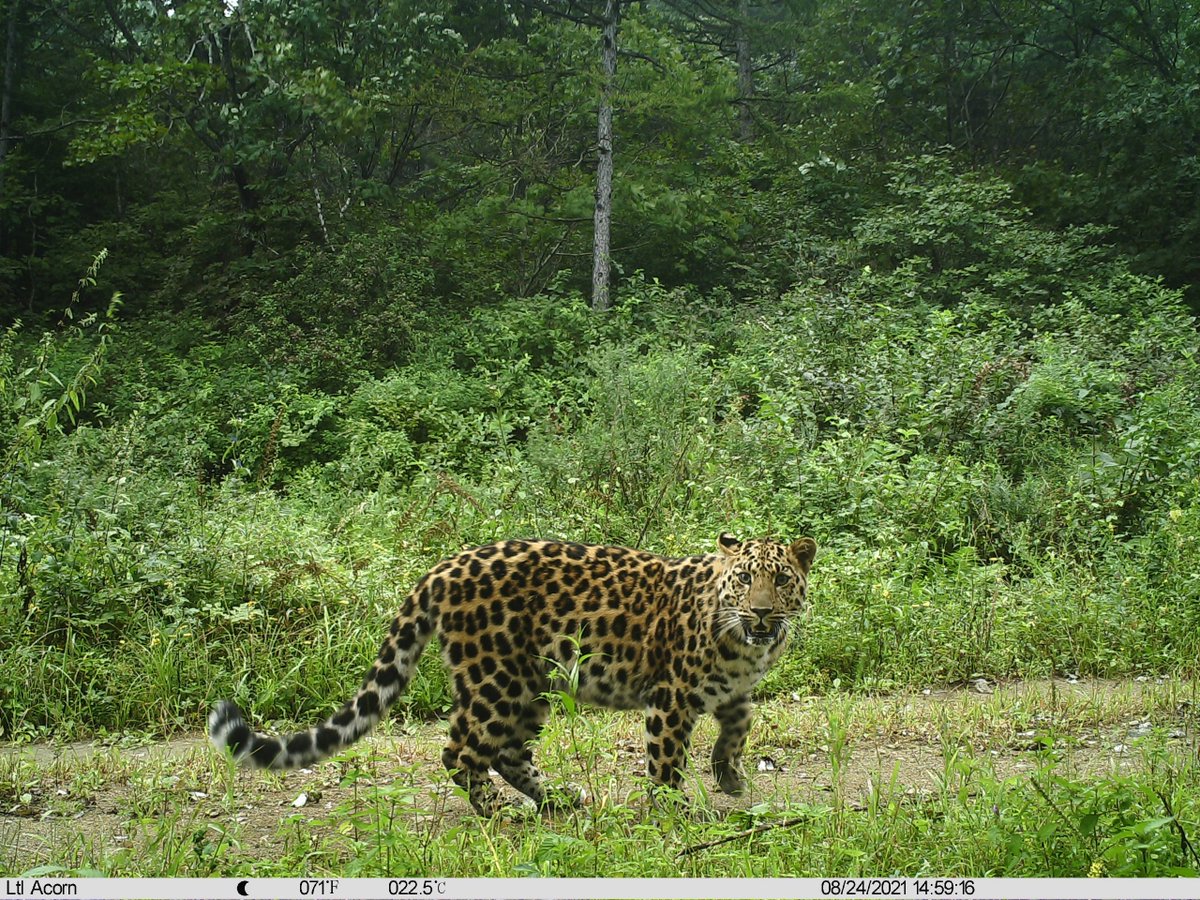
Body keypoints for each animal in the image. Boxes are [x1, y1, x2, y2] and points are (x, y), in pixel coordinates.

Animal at [208, 532, 817, 815]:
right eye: (745, 579)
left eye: (782, 579)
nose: (762, 613)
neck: (742, 646)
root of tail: (443, 567)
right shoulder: (669, 698)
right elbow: (666, 763)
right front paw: (676, 813)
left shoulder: (730, 691)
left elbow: (741, 722)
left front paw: (729, 774)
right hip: (494, 677)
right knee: (460, 750)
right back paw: (502, 813)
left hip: (532, 685)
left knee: (504, 751)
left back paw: (554, 800)